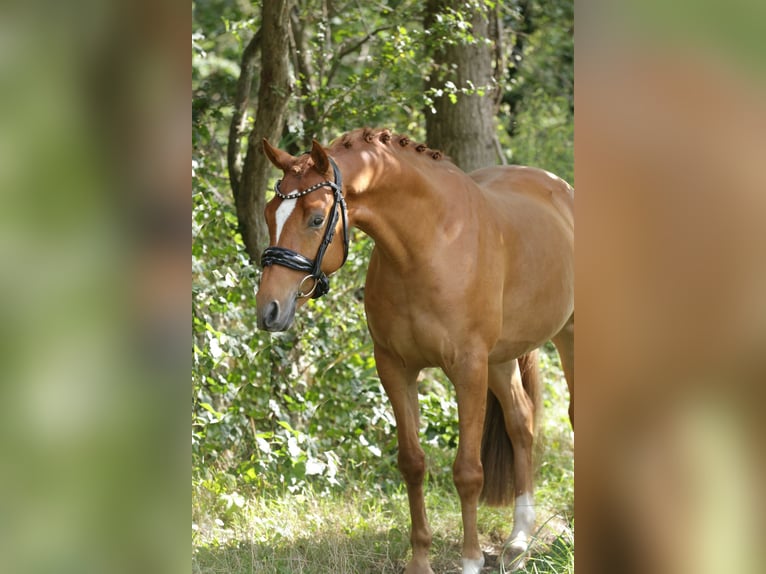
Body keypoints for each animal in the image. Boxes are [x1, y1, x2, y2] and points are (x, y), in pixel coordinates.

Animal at [258, 128, 576, 572]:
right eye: (270, 213)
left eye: (316, 218)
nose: (269, 309)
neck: (429, 246)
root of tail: (560, 188)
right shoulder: (395, 368)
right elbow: (412, 463)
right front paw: (420, 559)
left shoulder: (467, 370)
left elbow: (468, 472)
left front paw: (470, 560)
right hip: (500, 360)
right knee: (521, 424)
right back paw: (517, 541)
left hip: (565, 337)